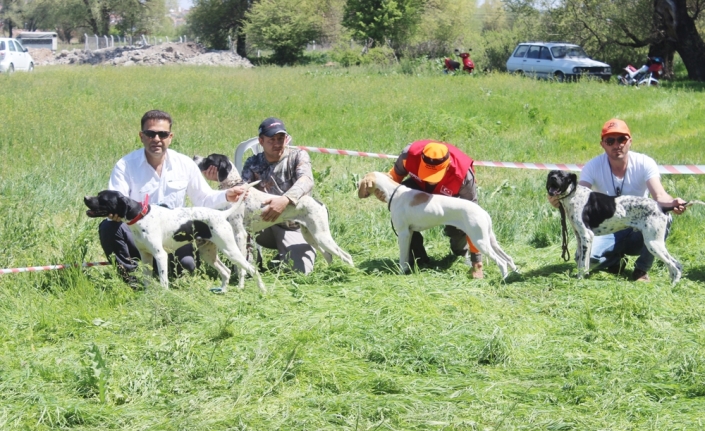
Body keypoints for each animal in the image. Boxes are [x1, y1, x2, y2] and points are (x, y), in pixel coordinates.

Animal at [84, 189, 264, 294]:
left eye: (102, 198)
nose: (85, 197)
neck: (141, 216)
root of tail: (221, 214)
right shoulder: (146, 257)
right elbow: (147, 280)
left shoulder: (160, 255)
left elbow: (163, 281)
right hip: (208, 254)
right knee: (226, 272)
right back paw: (222, 291)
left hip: (231, 250)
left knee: (252, 269)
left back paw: (263, 290)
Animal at [192, 154, 352, 286]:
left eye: (209, 158)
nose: (194, 157)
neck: (236, 188)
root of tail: (320, 203)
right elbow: (240, 264)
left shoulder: (240, 234)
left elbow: (241, 266)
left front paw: (240, 286)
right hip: (311, 236)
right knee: (329, 255)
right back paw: (329, 273)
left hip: (322, 236)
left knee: (347, 256)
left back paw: (352, 275)